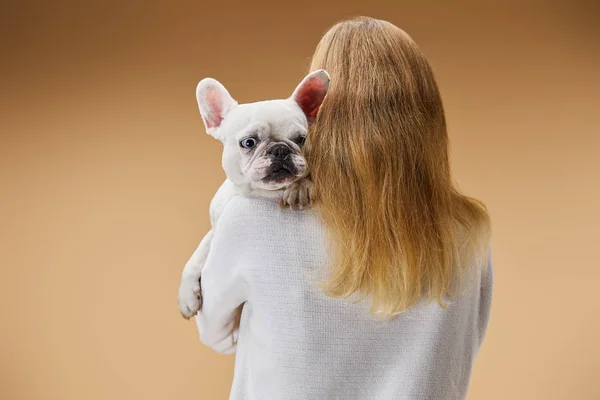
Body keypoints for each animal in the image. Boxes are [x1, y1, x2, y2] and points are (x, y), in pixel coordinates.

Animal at [178, 69, 330, 318]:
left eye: (301, 139)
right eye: (248, 142)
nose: (280, 150)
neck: (260, 192)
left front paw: (299, 187)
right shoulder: (216, 228)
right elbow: (198, 253)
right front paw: (186, 295)